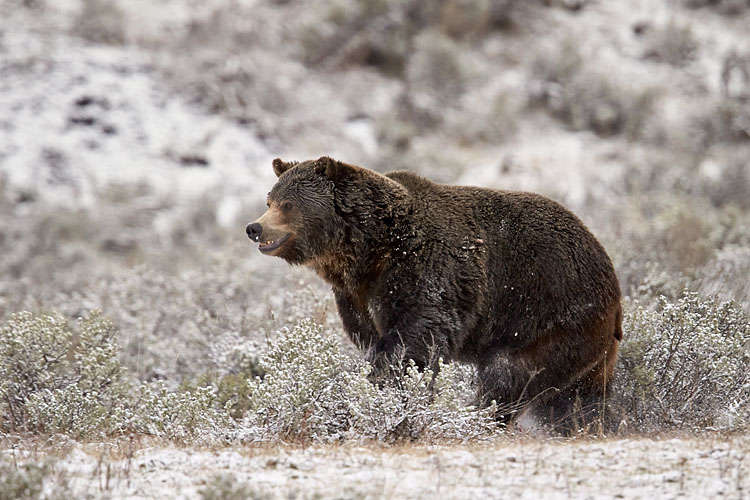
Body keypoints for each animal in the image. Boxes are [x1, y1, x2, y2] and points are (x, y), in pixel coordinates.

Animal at [246, 156, 622, 432]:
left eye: (288, 204)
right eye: (269, 200)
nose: (255, 227)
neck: (368, 250)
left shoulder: (425, 269)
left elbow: (415, 336)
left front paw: (383, 389)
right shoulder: (355, 295)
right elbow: (370, 335)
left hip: (546, 312)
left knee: (509, 375)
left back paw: (475, 419)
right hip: (590, 346)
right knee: (577, 397)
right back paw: (586, 425)